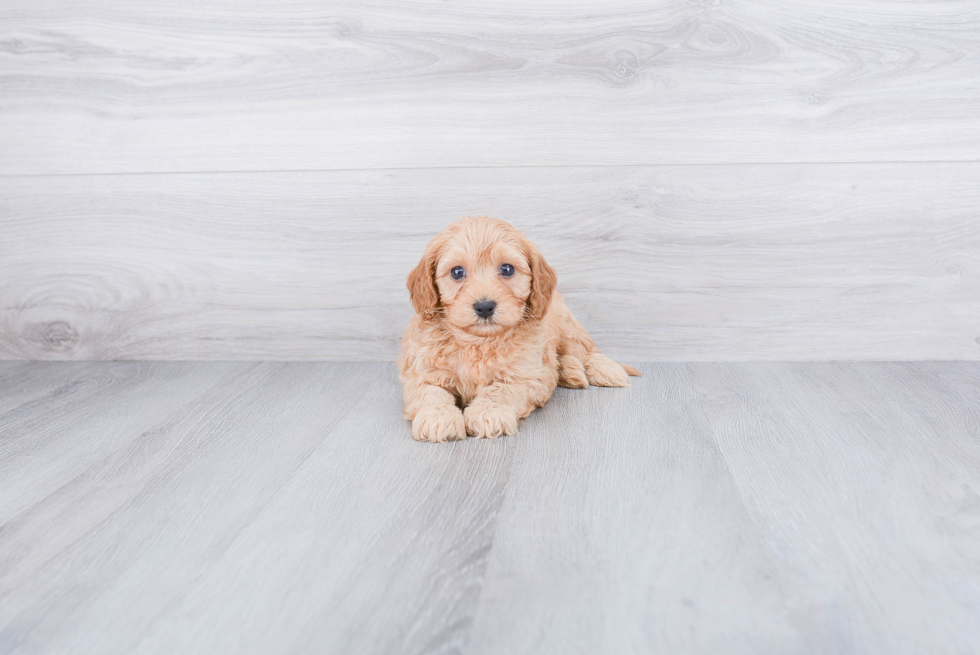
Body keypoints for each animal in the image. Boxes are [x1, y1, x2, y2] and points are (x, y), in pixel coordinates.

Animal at [400, 218, 644, 444]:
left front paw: (488, 413)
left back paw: (603, 370)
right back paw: (570, 371)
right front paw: (437, 418)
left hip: (568, 325)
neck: (479, 341)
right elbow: (431, 393)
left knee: (586, 350)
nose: (484, 307)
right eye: (457, 272)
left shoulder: (526, 375)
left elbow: (500, 390)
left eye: (507, 269)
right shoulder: (422, 372)